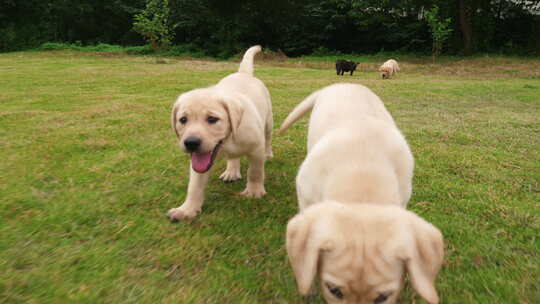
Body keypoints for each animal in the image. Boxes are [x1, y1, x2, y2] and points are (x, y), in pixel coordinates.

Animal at [167, 45, 272, 221]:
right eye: (183, 120)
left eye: (212, 119)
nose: (191, 143)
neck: (228, 140)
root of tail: (243, 73)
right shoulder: (198, 161)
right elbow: (194, 185)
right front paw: (187, 209)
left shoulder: (256, 147)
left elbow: (255, 172)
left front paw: (254, 191)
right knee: (234, 157)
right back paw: (231, 171)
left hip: (269, 121)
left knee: (269, 137)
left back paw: (268, 153)